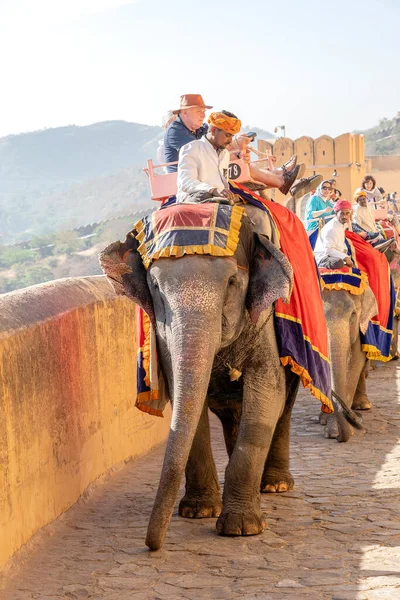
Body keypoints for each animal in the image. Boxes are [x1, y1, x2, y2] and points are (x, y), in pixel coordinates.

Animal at [101, 212, 312, 552]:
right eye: (156, 285)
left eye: (231, 282)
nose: (151, 545)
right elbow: (185, 399)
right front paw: (198, 511)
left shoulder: (264, 320)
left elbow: (267, 392)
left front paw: (241, 528)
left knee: (285, 406)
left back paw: (275, 484)